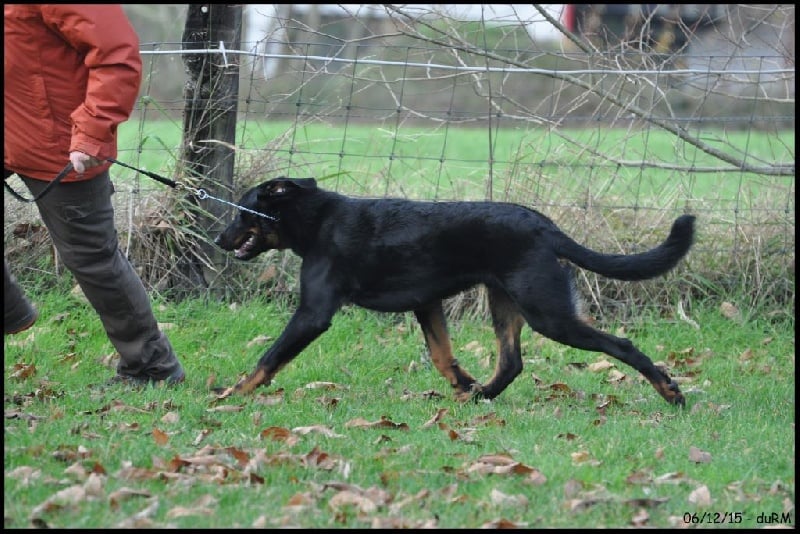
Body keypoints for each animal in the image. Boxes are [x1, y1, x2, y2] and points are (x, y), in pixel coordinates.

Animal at [216, 178, 696, 408]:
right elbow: (441, 355)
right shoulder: (427, 303)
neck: (317, 220)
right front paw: (463, 382)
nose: (219, 240)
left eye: (241, 212)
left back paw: (671, 393)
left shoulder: (313, 313)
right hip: (505, 304)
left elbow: (268, 358)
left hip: (548, 313)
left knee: (622, 345)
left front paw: (231, 394)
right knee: (511, 362)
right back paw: (481, 395)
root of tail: (547, 228)